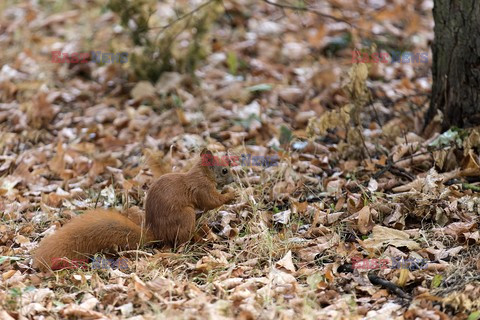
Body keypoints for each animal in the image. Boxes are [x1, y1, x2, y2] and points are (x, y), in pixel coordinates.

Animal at [32, 149, 235, 272]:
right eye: (224, 170)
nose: (234, 180)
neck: (201, 173)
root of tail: (157, 233)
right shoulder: (201, 188)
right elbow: (210, 201)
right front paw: (231, 195)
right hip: (185, 216)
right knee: (180, 240)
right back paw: (196, 239)